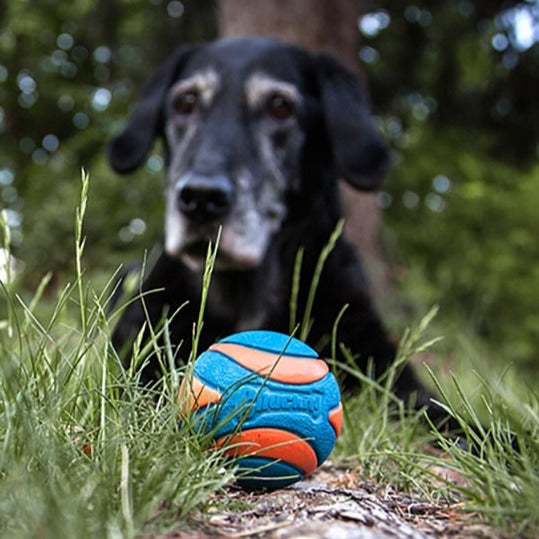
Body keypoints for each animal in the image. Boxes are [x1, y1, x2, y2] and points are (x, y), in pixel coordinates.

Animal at [107, 37, 450, 426]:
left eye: (280, 107)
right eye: (186, 102)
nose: (201, 198)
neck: (245, 296)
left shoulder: (385, 367)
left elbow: (445, 416)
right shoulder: (141, 350)